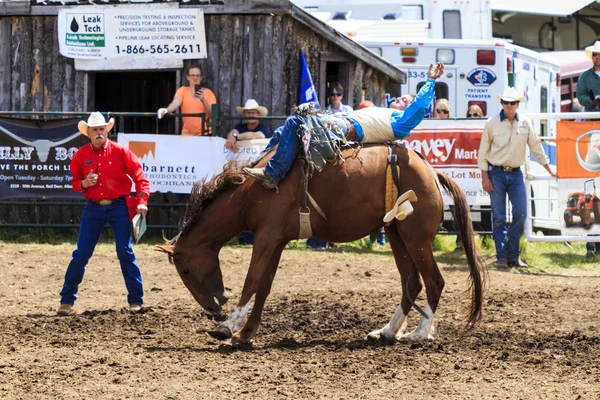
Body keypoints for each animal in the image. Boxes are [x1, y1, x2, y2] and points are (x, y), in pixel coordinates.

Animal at [156, 144, 488, 344]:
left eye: (185, 271)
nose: (213, 307)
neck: (253, 189)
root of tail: (431, 171)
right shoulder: (276, 240)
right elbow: (264, 286)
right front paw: (247, 332)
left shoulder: (266, 236)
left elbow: (252, 281)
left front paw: (227, 327)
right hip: (396, 234)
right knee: (412, 282)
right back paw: (387, 331)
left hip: (416, 238)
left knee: (433, 281)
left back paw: (419, 334)